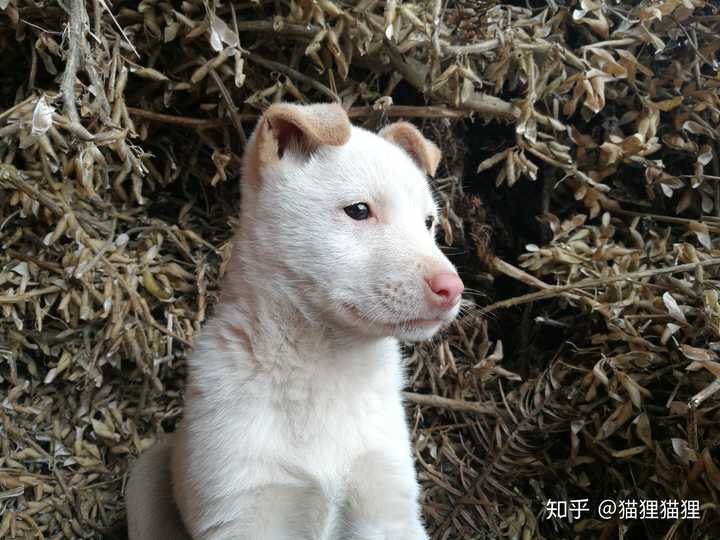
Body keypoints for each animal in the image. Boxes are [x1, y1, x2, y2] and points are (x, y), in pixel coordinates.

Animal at [126, 102, 464, 540]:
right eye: (359, 210)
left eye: (428, 222)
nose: (452, 288)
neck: (326, 368)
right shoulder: (243, 509)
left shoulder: (387, 505)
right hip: (144, 478)